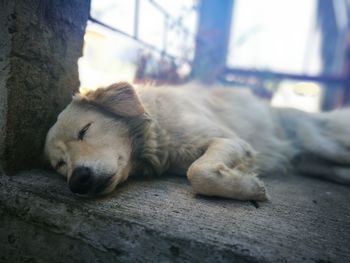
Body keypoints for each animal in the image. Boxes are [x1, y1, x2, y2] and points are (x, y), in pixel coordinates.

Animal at [44, 82, 350, 202]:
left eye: (84, 130)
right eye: (60, 164)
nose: (78, 180)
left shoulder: (230, 140)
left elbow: (198, 171)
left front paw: (252, 188)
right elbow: (199, 171)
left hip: (329, 145)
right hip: (319, 163)